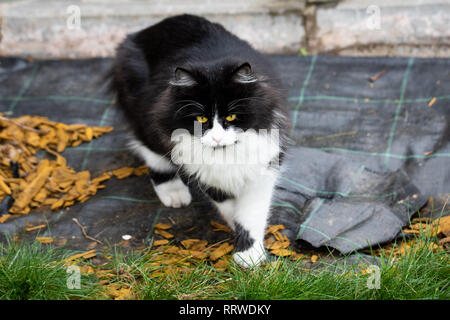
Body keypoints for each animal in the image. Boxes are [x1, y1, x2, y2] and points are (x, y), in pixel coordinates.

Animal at [109, 13, 288, 266]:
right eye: (201, 118)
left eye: (231, 116)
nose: (216, 137)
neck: (225, 154)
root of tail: (144, 31)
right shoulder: (208, 173)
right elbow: (229, 206)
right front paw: (241, 241)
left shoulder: (262, 168)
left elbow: (250, 214)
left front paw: (250, 255)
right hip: (143, 112)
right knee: (150, 149)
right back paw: (174, 193)